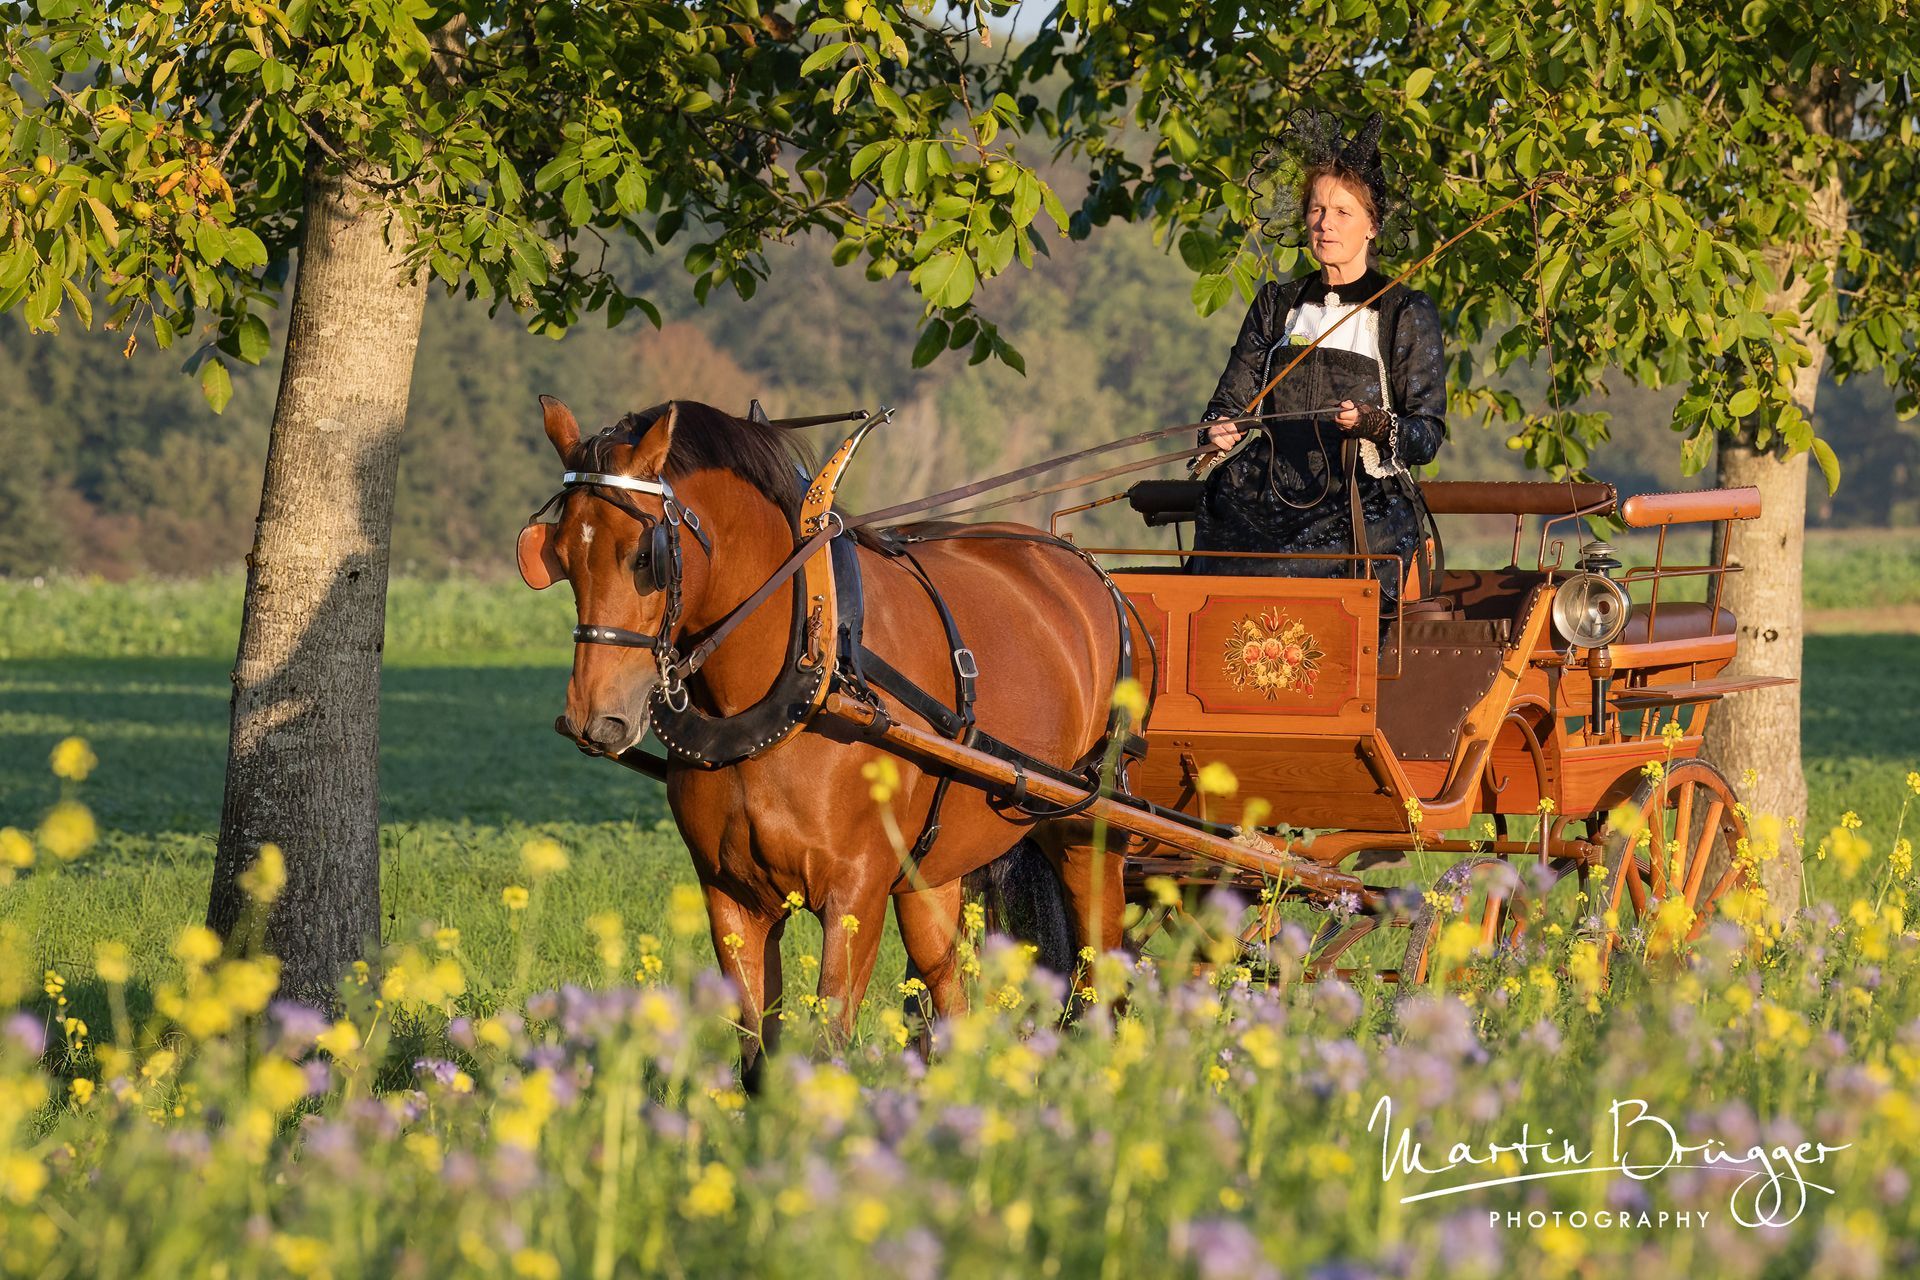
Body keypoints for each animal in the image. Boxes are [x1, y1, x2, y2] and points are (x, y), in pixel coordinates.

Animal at [518, 396, 1144, 1075]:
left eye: (643, 557)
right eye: (559, 557)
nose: (594, 719)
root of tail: (1084, 565)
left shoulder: (856, 895)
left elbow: (826, 1046)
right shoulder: (731, 897)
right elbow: (759, 1058)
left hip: (1089, 837)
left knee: (1102, 976)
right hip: (933, 869)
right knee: (949, 986)